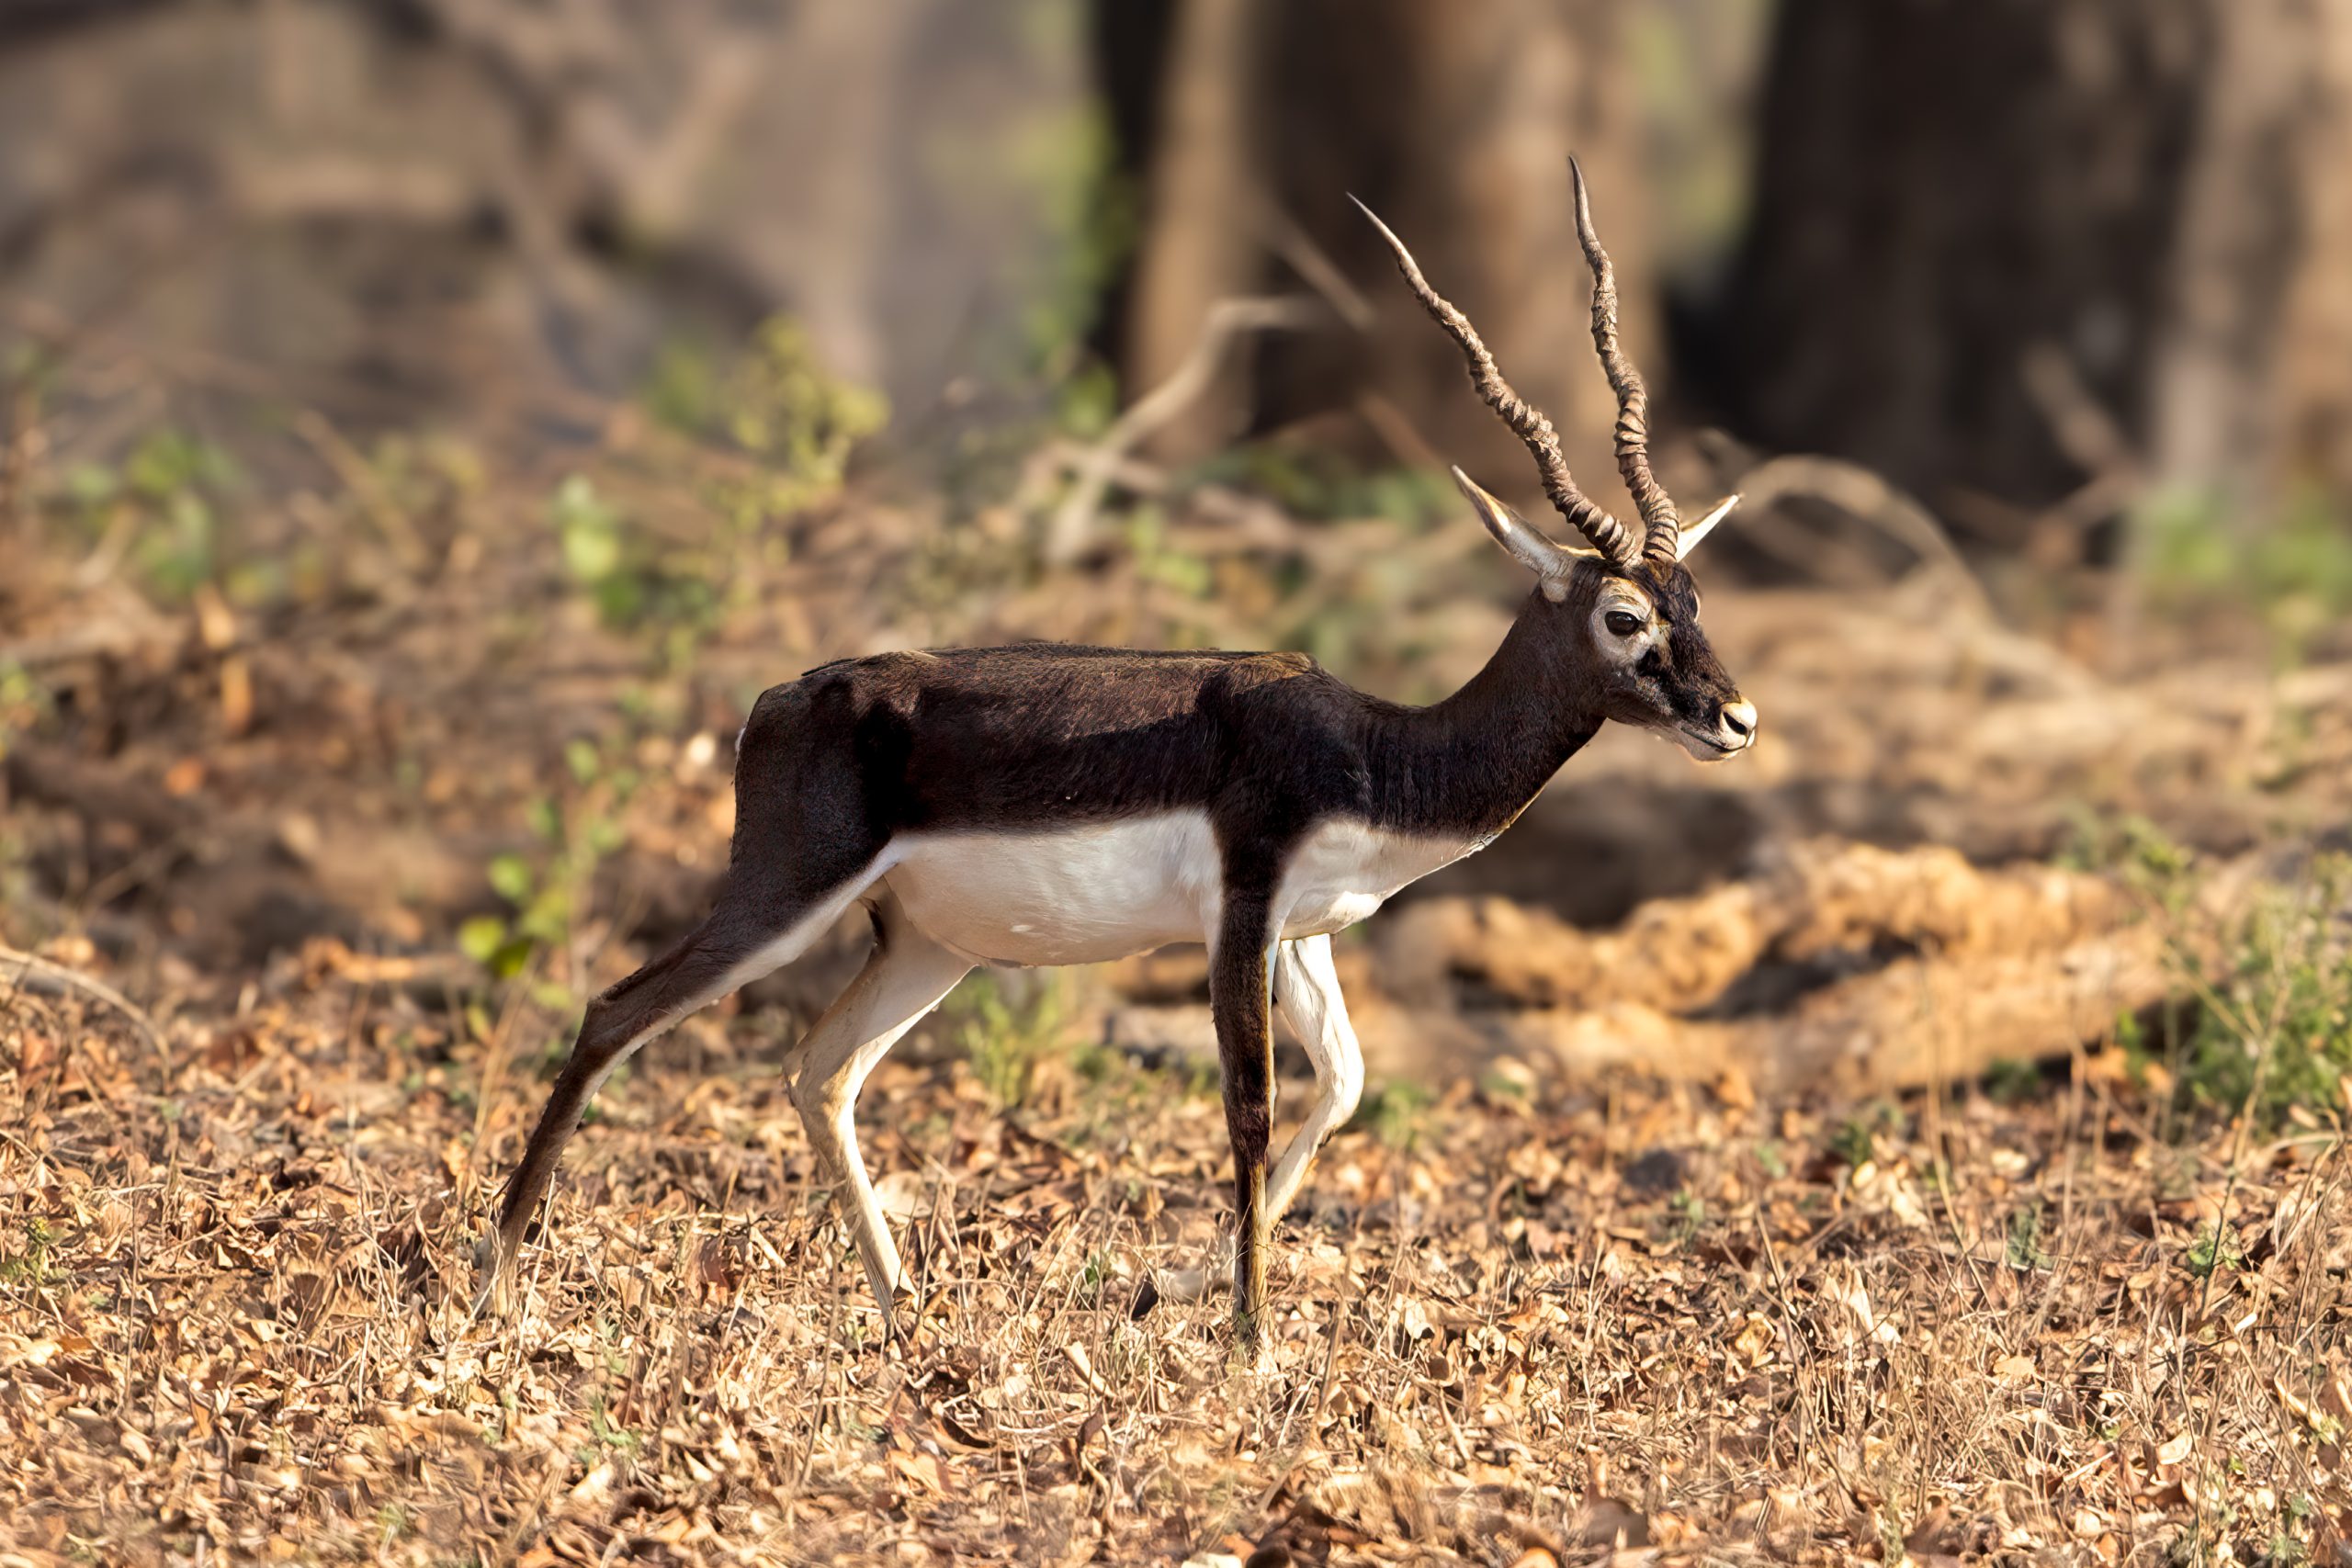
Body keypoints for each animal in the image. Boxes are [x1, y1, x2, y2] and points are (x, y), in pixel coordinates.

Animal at [481, 160, 1769, 1335]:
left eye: (1693, 598)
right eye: (1623, 617)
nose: (1736, 719)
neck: (1375, 746)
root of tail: (779, 699)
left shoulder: (1304, 934)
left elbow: (1345, 1085)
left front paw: (1176, 1287)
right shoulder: (1240, 911)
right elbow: (1249, 1104)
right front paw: (1251, 1340)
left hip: (925, 946)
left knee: (821, 1068)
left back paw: (904, 1314)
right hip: (784, 895)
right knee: (612, 1013)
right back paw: (499, 1287)